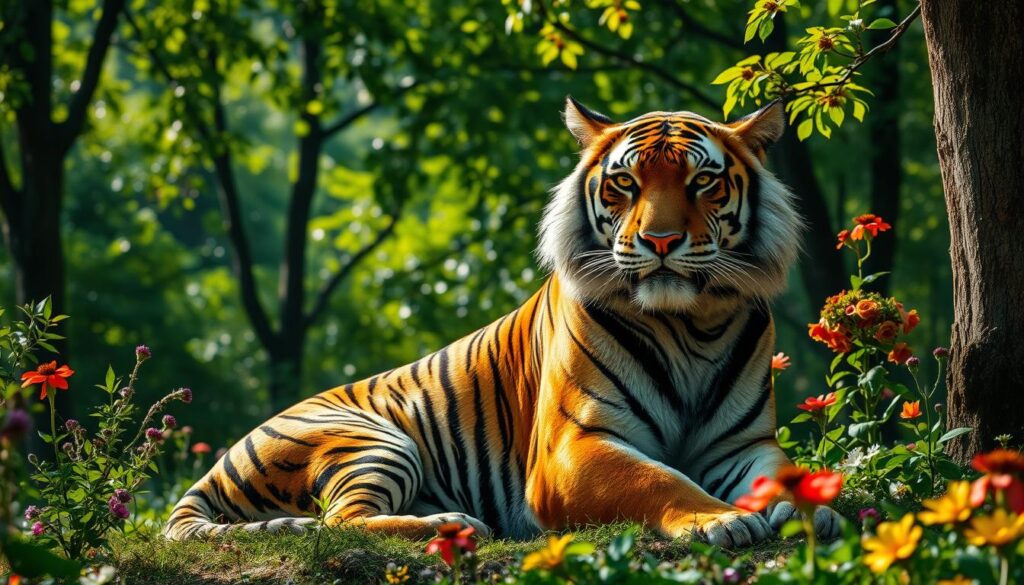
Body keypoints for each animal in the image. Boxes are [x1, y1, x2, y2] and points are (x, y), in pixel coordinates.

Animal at [165, 98, 843, 548]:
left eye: (703, 181)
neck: (689, 323)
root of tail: (214, 467)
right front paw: (722, 518)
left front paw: (816, 509)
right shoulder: (573, 447)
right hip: (371, 439)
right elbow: (659, 481)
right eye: (625, 183)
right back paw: (452, 524)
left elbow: (785, 475)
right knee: (340, 521)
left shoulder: (742, 444)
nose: (660, 241)